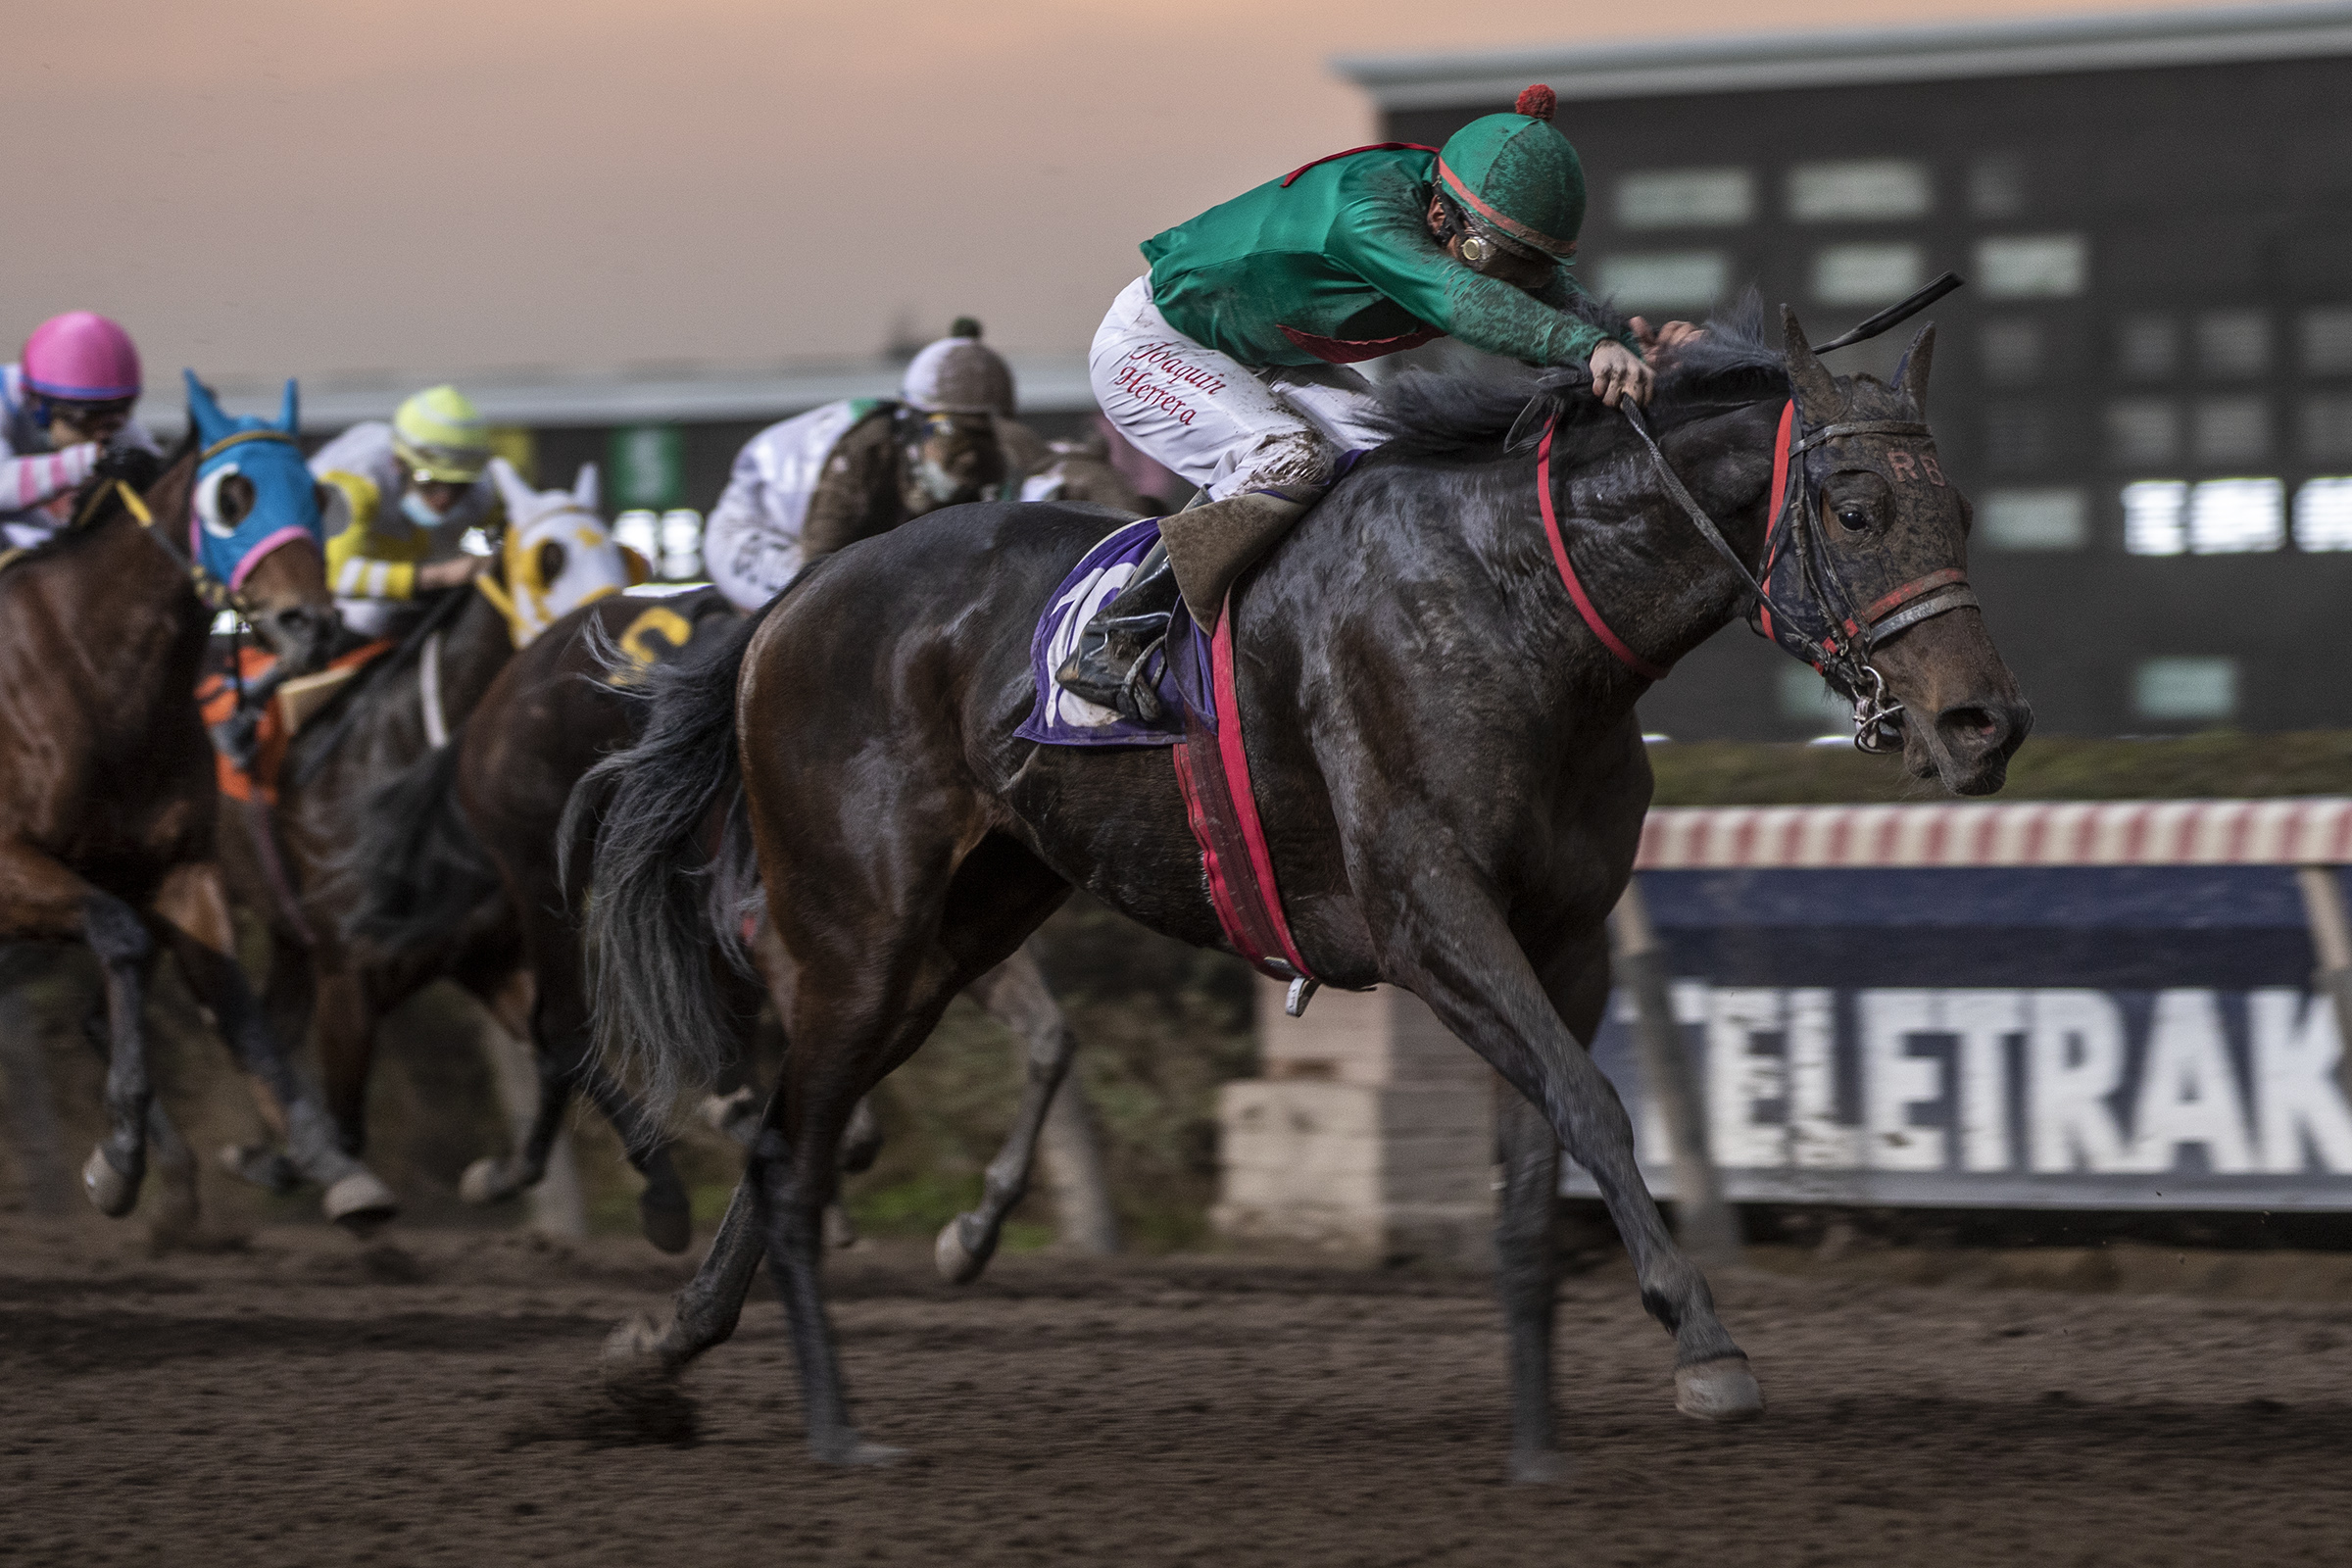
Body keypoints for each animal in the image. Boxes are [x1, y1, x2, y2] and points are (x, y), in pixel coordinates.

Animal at [0, 375, 396, 1226]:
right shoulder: (8, 865)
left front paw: (332, 1164)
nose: (309, 624)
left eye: (317, 491)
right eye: (231, 496)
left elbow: (239, 1013)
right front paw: (119, 1161)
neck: (99, 675)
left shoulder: (181, 871)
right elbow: (120, 939)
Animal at [582, 297, 2029, 1476]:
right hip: (860, 922)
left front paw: (1542, 1436)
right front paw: (1706, 1347)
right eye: (1854, 511)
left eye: (1959, 512)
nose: (1984, 726)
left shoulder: (1563, 935)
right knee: (788, 1144)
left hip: (960, 928)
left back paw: (658, 1354)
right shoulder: (1428, 916)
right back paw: (833, 1428)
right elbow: (1594, 1108)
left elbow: (1541, 1149)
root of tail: (790, 605)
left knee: (795, 1132)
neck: (1520, 605)